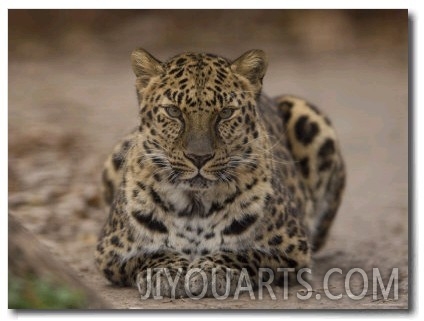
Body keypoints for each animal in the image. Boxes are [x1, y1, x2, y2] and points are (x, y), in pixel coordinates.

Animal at [95, 48, 344, 298]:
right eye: (173, 111)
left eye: (225, 113)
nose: (199, 157)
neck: (195, 205)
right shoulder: (109, 251)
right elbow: (151, 253)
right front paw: (167, 272)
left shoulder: (294, 248)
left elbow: (246, 253)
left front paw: (212, 271)